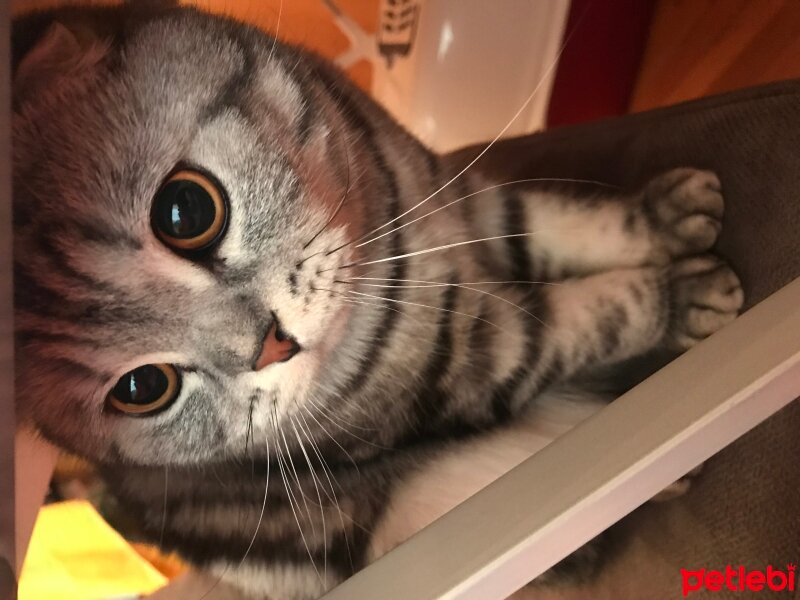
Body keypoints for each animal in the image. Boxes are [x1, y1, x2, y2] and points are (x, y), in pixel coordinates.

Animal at [10, 4, 744, 600]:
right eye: (143, 388)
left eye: (184, 210)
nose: (269, 343)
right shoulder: (481, 357)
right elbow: (596, 312)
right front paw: (683, 296)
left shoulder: (463, 194)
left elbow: (562, 223)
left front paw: (665, 217)